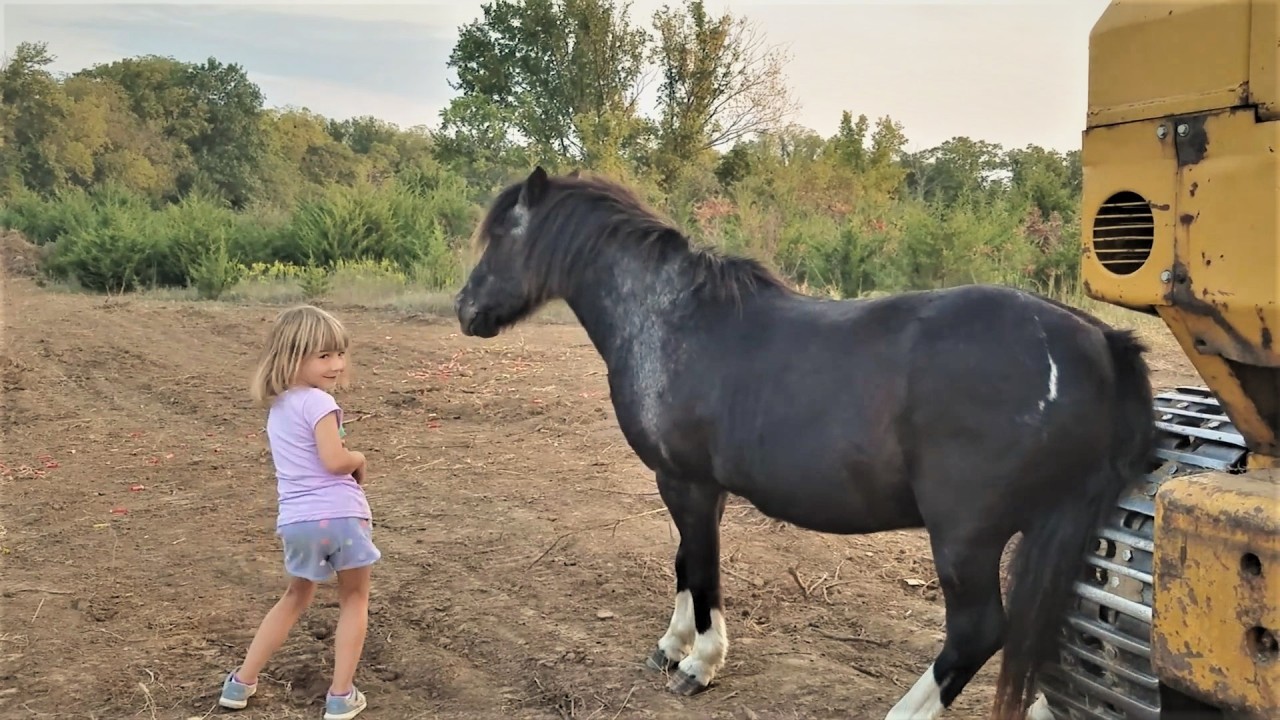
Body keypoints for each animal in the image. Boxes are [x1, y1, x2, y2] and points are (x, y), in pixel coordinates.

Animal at [453, 167, 1162, 717]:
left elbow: (702, 570)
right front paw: (672, 647)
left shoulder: (685, 481)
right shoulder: (697, 488)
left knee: (977, 633)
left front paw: (700, 664)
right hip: (1057, 532)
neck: (669, 320)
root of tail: (1097, 340)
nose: (465, 309)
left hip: (968, 535)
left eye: (504, 237)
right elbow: (685, 563)